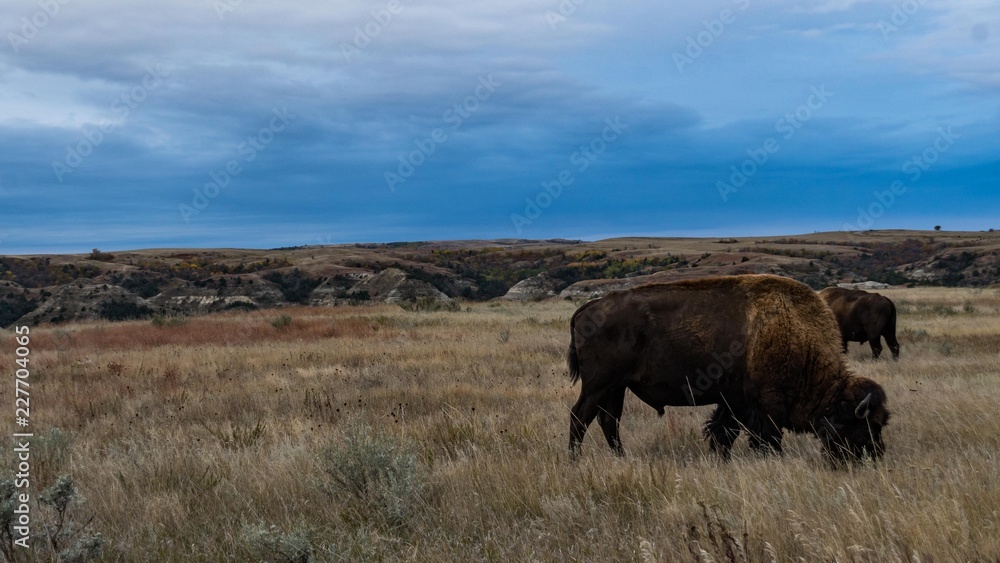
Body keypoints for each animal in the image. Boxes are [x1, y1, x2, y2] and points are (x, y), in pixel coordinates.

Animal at [568, 276, 888, 464]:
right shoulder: (762, 407)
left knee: (609, 421)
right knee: (580, 417)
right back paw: (575, 460)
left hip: (616, 388)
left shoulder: (733, 402)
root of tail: (589, 307)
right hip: (598, 386)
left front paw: (722, 459)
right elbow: (764, 438)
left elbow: (723, 432)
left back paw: (621, 458)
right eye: (866, 424)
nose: (876, 455)